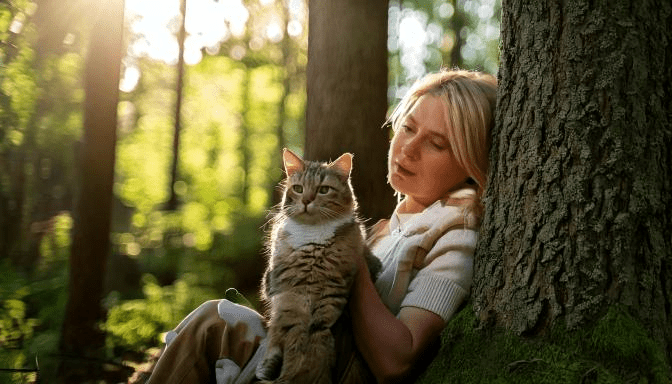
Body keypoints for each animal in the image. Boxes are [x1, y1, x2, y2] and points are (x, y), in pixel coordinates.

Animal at [256, 149, 378, 384]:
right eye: (298, 188)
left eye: (323, 190)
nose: (306, 200)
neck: (311, 236)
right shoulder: (285, 295)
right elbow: (283, 335)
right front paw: (276, 370)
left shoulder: (328, 296)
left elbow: (310, 351)